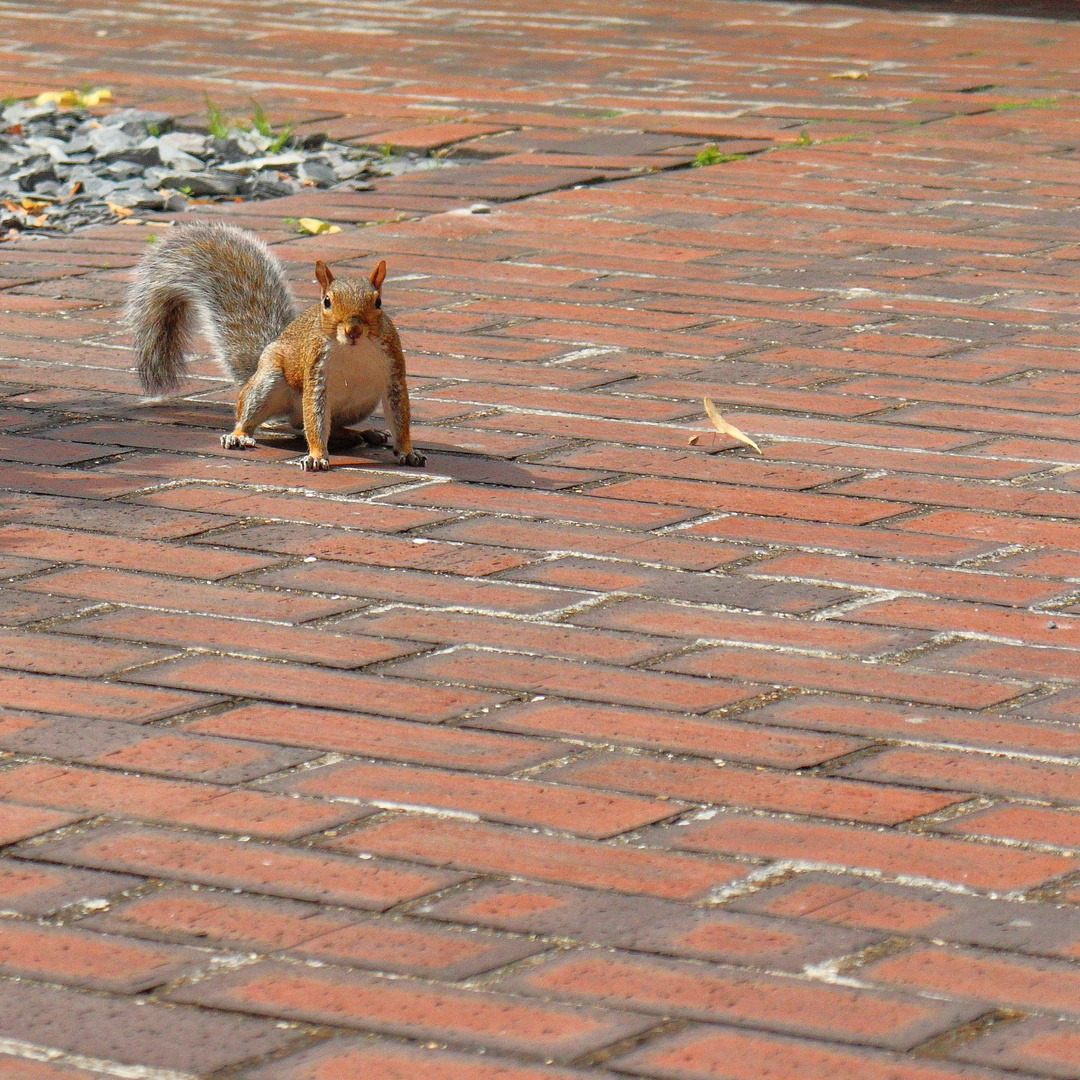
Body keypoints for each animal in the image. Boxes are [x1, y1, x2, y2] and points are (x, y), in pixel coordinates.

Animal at [127, 221, 425, 470]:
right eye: (327, 302)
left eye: (378, 302)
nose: (353, 330)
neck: (353, 350)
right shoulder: (315, 373)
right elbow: (316, 420)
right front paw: (316, 456)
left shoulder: (393, 373)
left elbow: (400, 417)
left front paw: (407, 451)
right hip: (267, 384)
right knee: (269, 418)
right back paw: (239, 436)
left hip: (359, 404)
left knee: (312, 426)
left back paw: (363, 433)